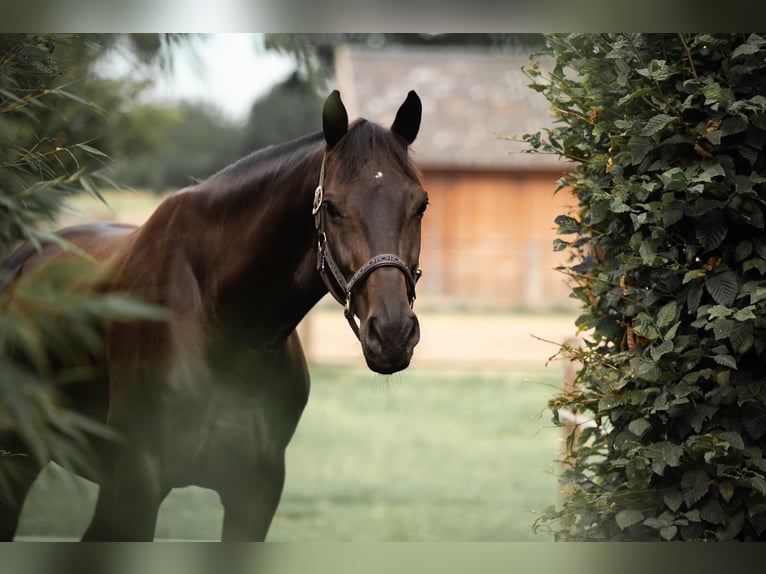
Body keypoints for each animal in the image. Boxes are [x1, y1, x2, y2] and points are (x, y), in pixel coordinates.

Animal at [0, 89, 426, 540]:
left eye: (421, 205)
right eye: (331, 206)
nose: (393, 334)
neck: (225, 325)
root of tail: (21, 257)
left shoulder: (256, 494)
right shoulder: (139, 483)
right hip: (19, 456)